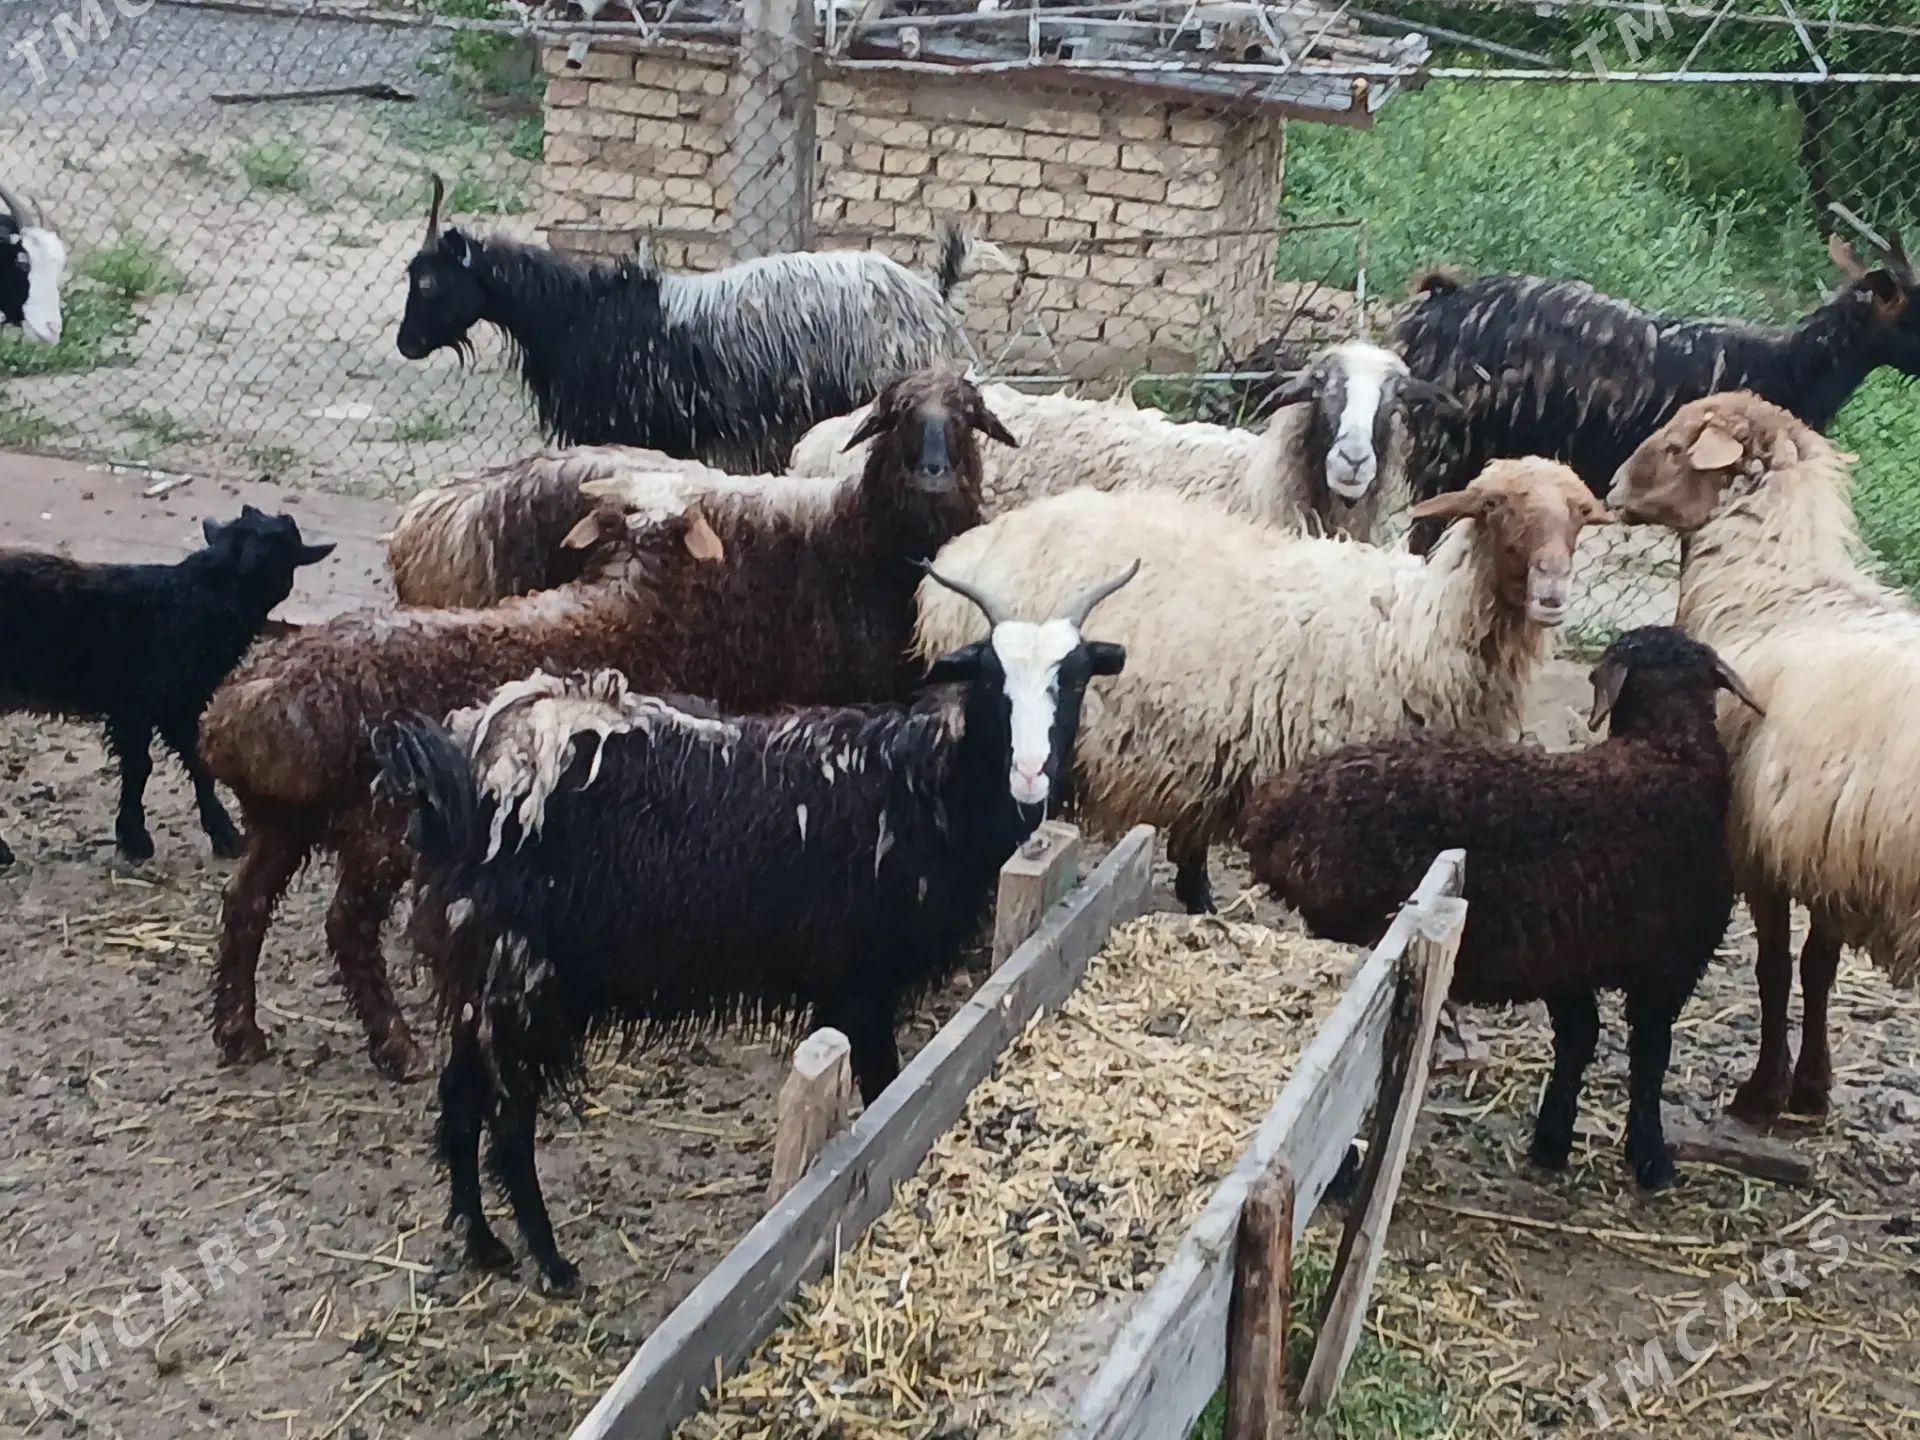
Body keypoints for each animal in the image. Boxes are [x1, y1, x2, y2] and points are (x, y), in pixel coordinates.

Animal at [0, 507, 334, 865]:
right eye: (282, 537)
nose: (287, 517)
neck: (199, 596)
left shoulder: (159, 707)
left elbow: (172, 764)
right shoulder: (152, 704)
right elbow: (157, 766)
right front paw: (146, 839)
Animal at [201, 370, 1010, 1079]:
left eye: (966, 415)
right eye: (898, 414)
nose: (935, 471)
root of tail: (240, 709)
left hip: (284, 821)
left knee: (245, 903)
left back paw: (241, 1031)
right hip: (376, 828)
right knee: (346, 925)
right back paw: (395, 1044)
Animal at [371, 561, 1136, 1288]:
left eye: (1073, 680)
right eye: (991, 679)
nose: (1032, 774)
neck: (921, 787)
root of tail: (461, 770)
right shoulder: (859, 984)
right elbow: (884, 1093)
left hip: (481, 984)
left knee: (460, 1095)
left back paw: (483, 1242)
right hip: (518, 981)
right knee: (508, 1120)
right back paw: (551, 1263)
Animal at [1241, 626, 1762, 1191]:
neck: (1668, 751)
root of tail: (1275, 807)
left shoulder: (1568, 960)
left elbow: (1580, 1039)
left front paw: (1553, 1139)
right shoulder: (1668, 967)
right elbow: (1649, 1060)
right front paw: (1651, 1159)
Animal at [1607, 391, 1920, 1126]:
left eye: (1674, 447)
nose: (1610, 488)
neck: (1767, 593)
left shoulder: (1756, 846)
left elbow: (1774, 968)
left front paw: (1762, 1093)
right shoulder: (1826, 847)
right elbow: (1818, 967)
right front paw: (1811, 1087)